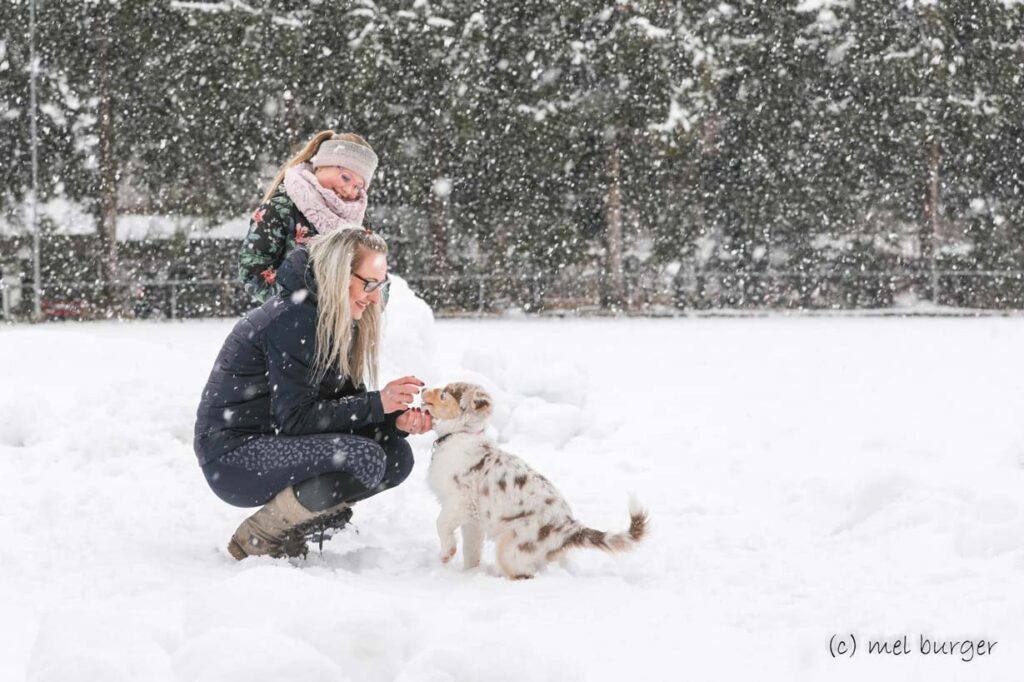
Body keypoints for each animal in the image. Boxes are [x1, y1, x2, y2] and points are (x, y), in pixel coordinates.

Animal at [417, 378, 643, 577]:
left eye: (445, 394)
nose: (423, 388)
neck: (460, 434)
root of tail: (570, 528)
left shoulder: (458, 502)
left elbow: (440, 522)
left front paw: (446, 553)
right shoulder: (473, 520)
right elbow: (471, 551)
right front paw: (468, 574)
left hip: (513, 544)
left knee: (523, 574)